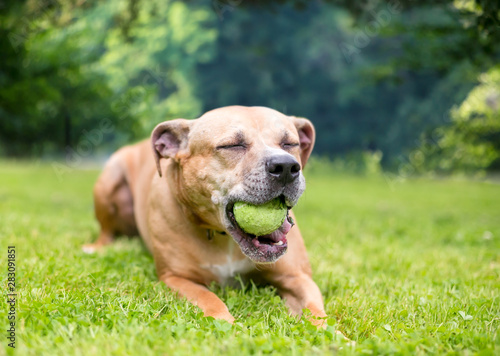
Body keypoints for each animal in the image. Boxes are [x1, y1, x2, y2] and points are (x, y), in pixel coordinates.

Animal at [85, 105, 328, 326]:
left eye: (290, 144)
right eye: (232, 145)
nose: (286, 166)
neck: (224, 238)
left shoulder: (297, 277)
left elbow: (316, 312)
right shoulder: (175, 278)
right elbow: (208, 297)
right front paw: (227, 324)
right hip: (109, 180)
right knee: (106, 230)